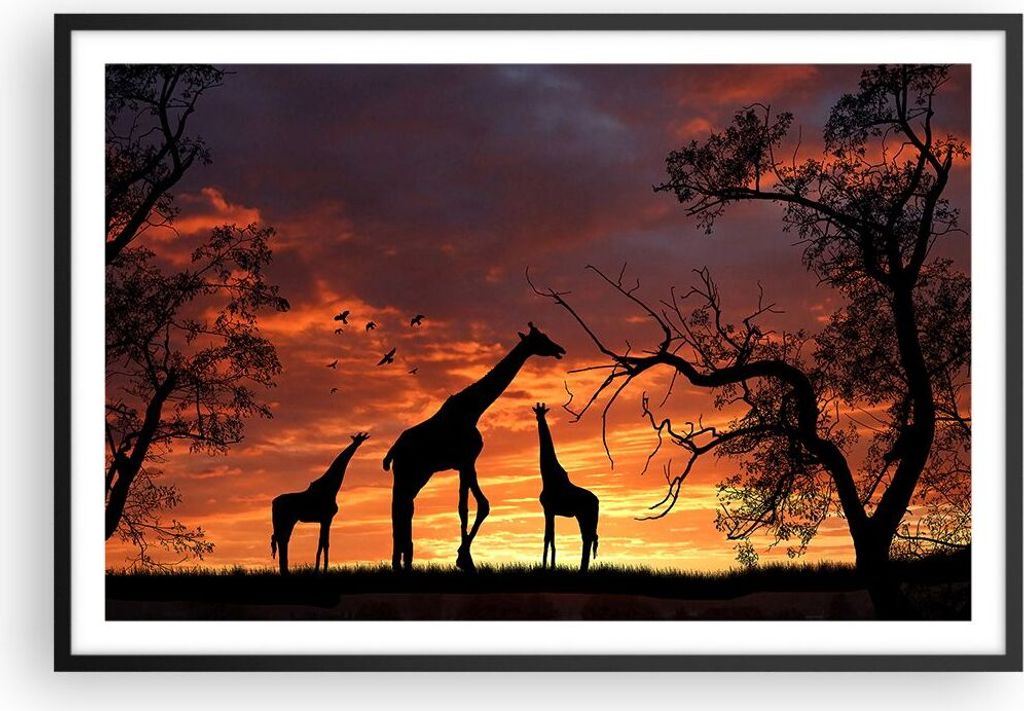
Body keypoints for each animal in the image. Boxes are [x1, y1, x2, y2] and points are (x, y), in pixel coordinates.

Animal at [270, 432, 369, 575]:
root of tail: (273, 503)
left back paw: (285, 571)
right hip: (286, 520)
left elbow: (322, 543)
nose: (358, 443)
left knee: (282, 539)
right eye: (357, 439)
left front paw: (319, 569)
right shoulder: (327, 518)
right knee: (282, 539)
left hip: (286, 521)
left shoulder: (324, 520)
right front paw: (322, 570)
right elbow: (325, 544)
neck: (331, 487)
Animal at [382, 322, 566, 572]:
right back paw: (399, 563)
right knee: (400, 508)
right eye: (542, 339)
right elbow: (481, 505)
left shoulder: (464, 464)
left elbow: (464, 507)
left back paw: (404, 562)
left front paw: (464, 558)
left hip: (418, 475)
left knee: (404, 507)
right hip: (408, 473)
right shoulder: (467, 460)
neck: (473, 410)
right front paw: (464, 559)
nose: (560, 349)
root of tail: (392, 451)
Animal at [532, 403, 599, 571]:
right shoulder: (550, 511)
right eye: (537, 412)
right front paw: (550, 566)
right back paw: (582, 568)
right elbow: (551, 537)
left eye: (542, 413)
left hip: (585, 515)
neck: (548, 476)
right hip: (585, 516)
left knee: (588, 537)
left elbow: (547, 537)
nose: (538, 419)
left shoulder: (548, 509)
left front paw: (546, 567)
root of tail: (597, 501)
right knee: (589, 537)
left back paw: (582, 568)